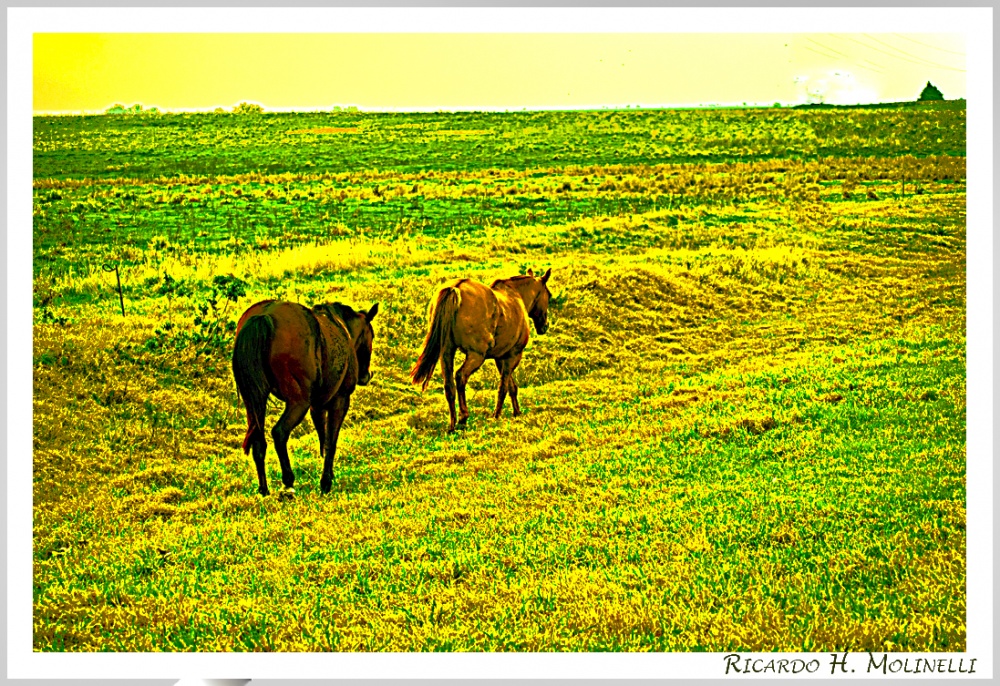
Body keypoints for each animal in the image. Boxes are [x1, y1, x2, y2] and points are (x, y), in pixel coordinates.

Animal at [232, 300, 380, 494]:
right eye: (372, 336)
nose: (365, 376)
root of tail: (263, 316)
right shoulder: (340, 400)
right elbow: (330, 441)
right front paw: (326, 482)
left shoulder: (317, 405)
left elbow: (323, 435)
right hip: (298, 402)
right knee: (279, 432)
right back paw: (288, 481)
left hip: (254, 401)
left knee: (258, 440)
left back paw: (264, 489)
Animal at [412, 268, 556, 432]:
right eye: (549, 295)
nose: (545, 326)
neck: (516, 296)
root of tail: (455, 287)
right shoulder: (513, 355)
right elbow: (504, 387)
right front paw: (497, 415)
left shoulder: (501, 358)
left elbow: (511, 386)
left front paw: (517, 413)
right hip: (476, 356)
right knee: (460, 376)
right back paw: (463, 418)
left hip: (447, 352)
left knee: (449, 386)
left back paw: (452, 425)